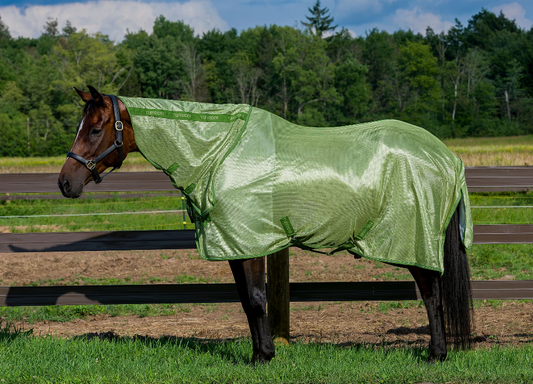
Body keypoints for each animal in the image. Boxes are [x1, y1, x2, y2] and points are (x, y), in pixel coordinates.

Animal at [59, 86, 474, 364]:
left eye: (94, 129)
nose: (65, 182)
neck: (219, 152)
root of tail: (447, 156)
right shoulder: (235, 243)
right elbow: (246, 301)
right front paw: (261, 352)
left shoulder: (249, 240)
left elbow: (258, 300)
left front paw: (263, 357)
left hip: (414, 239)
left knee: (432, 294)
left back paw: (436, 355)